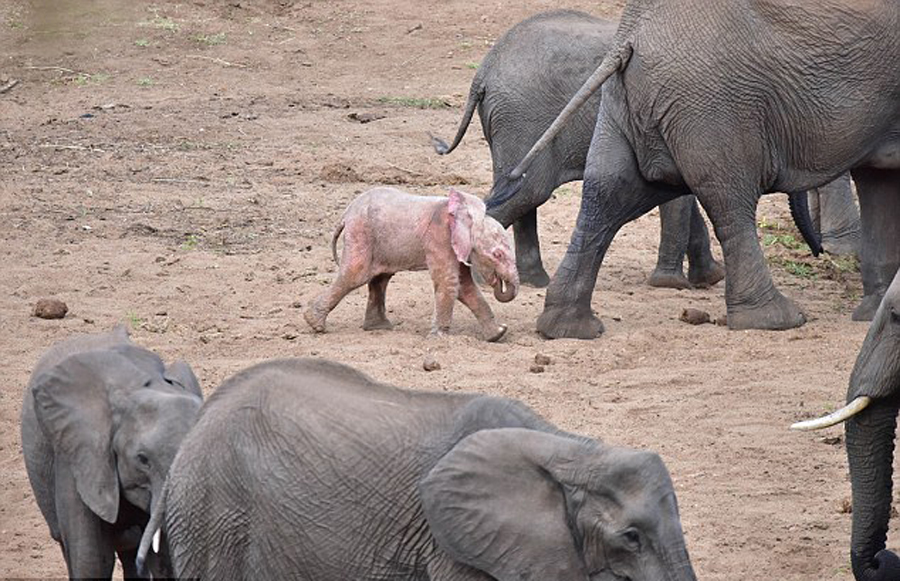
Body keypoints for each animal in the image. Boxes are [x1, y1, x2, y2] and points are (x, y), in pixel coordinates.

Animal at [302, 186, 516, 340]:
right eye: (497, 255)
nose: (498, 282)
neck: (468, 215)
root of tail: (345, 214)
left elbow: (465, 286)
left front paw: (498, 334)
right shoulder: (439, 238)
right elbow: (449, 283)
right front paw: (439, 339)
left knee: (380, 279)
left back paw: (379, 327)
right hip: (361, 233)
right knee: (356, 274)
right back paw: (315, 324)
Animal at [492, 0, 900, 338]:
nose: (819, 253)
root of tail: (632, 32)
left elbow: (880, 182)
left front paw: (876, 310)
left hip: (634, 102)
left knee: (607, 194)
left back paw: (566, 327)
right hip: (713, 101)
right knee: (729, 201)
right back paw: (775, 320)